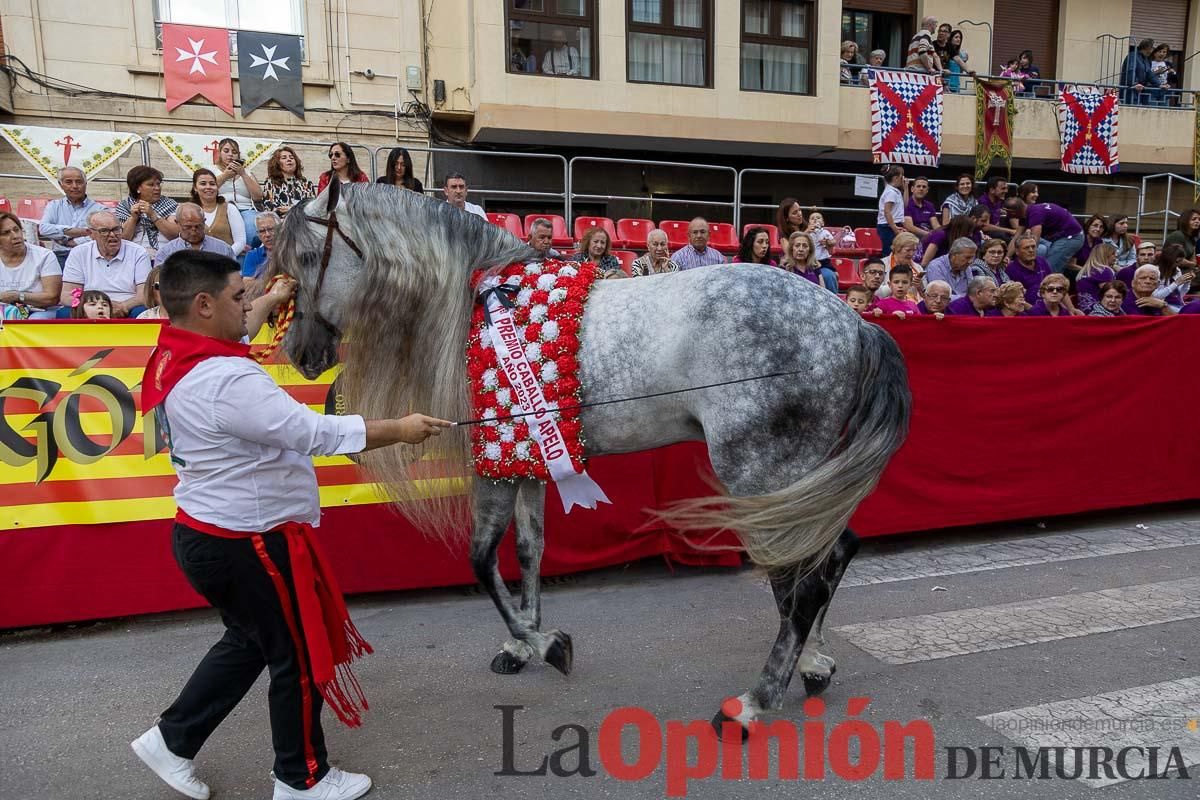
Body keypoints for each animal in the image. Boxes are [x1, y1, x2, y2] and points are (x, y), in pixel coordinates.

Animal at [272, 184, 907, 734]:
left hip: (760, 472)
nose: (301, 354)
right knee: (828, 557)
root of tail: (851, 323)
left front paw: (545, 644)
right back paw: (814, 666)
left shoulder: (496, 462)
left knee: (802, 580)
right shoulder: (526, 459)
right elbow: (529, 552)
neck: (473, 304)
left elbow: (481, 558)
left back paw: (755, 700)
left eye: (305, 256)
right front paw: (521, 642)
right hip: (798, 479)